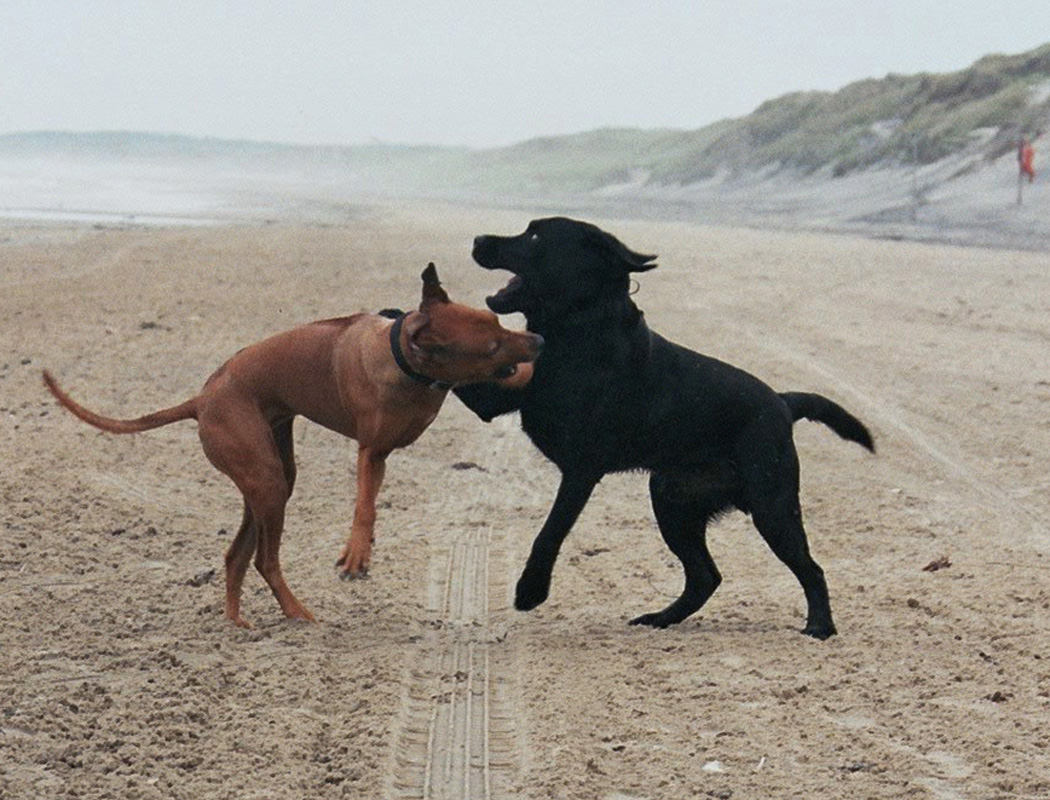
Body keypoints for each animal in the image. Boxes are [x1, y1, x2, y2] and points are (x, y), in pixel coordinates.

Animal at [45, 264, 546, 625]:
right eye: (489, 344)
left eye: (497, 320)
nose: (538, 338)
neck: (404, 357)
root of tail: (202, 399)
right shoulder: (372, 452)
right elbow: (365, 505)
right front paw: (357, 551)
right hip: (263, 475)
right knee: (266, 560)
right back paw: (295, 611)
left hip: (271, 477)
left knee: (237, 555)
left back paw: (236, 622)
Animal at [455, 216, 873, 634]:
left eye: (535, 235)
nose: (477, 239)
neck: (579, 331)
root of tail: (783, 402)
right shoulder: (495, 400)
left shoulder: (581, 469)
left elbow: (550, 531)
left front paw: (530, 590)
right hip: (673, 500)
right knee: (705, 576)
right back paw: (659, 618)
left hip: (771, 506)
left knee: (810, 569)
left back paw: (820, 627)